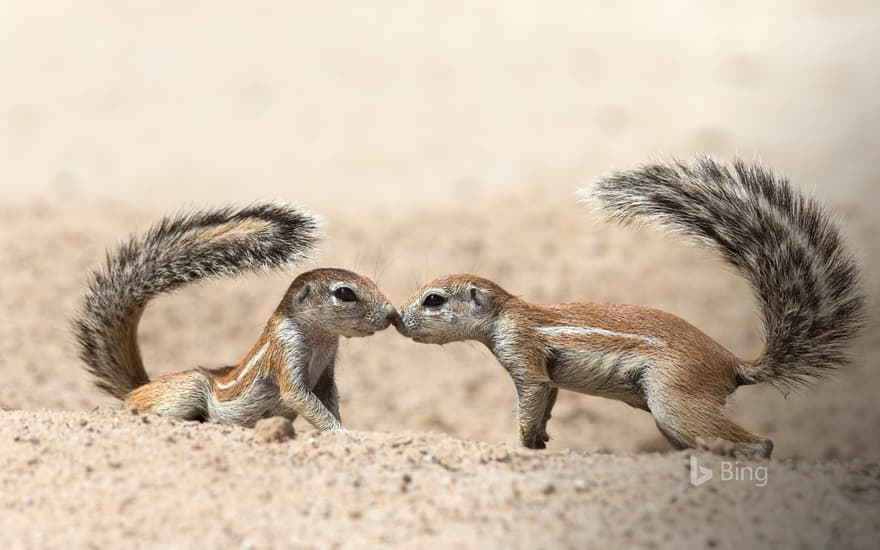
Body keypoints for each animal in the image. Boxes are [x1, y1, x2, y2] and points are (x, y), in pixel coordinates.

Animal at [74, 204, 398, 432]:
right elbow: (300, 397)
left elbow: (329, 399)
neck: (320, 338)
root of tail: (138, 389)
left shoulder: (327, 371)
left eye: (371, 281)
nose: (390, 313)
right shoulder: (286, 351)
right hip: (189, 388)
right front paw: (339, 432)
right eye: (345, 293)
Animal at [396, 157, 864, 460]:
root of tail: (733, 362)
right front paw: (542, 439)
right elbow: (548, 398)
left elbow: (532, 395)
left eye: (433, 300)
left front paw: (526, 445)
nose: (399, 319)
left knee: (756, 443)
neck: (506, 310)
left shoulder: (522, 348)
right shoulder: (546, 373)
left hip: (674, 397)